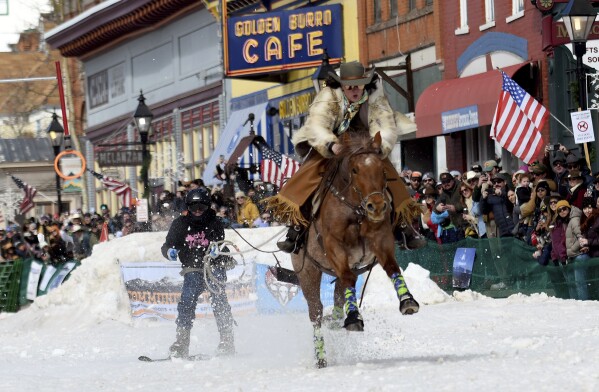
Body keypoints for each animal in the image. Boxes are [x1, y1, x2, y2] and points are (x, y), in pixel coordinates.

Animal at [292, 131, 420, 368]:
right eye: (354, 170)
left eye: (383, 170)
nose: (377, 206)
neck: (356, 213)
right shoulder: (335, 247)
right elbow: (349, 278)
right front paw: (353, 317)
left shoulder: (381, 241)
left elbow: (392, 268)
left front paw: (407, 300)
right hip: (307, 272)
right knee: (316, 312)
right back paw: (321, 357)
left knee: (337, 298)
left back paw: (335, 320)